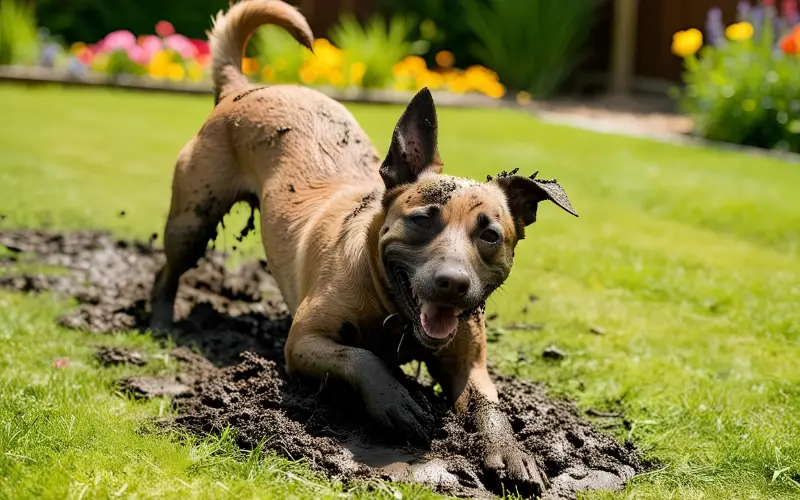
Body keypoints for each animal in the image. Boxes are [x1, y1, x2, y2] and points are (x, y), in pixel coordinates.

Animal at [148, 0, 576, 492]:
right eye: (421, 219)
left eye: (490, 235)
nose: (452, 283)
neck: (392, 310)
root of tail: (245, 87)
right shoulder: (302, 343)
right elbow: (360, 358)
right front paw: (397, 400)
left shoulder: (470, 365)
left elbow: (491, 406)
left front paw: (509, 449)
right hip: (191, 222)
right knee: (166, 271)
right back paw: (161, 320)